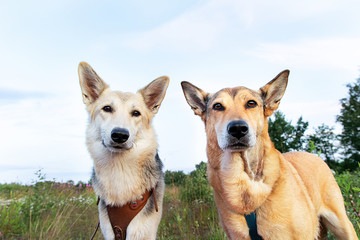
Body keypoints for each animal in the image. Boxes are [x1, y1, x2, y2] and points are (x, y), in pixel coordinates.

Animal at [79, 62, 169, 240]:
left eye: (136, 113)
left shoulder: (143, 231)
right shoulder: (109, 230)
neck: (119, 167)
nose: (120, 135)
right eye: (107, 108)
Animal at [181, 70, 356, 239]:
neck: (245, 182)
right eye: (218, 106)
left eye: (251, 103)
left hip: (343, 226)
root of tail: (314, 155)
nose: (238, 128)